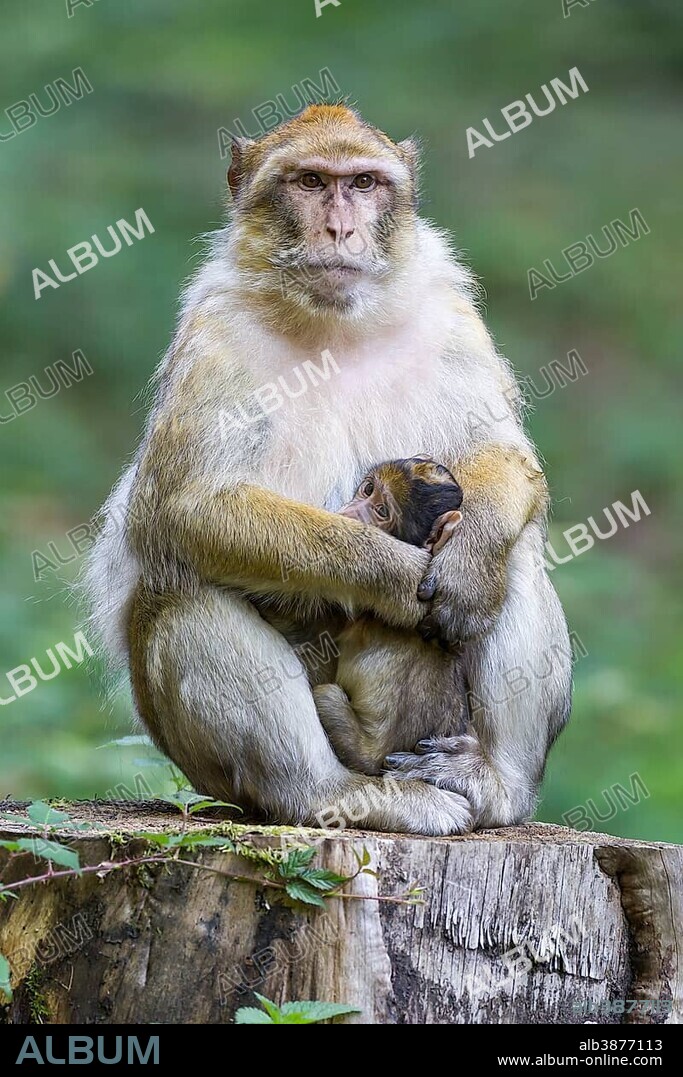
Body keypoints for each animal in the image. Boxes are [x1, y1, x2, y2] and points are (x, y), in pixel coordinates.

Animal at [85, 103, 571, 837]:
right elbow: (185, 508)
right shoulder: (213, 333)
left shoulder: (451, 316)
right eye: (311, 181)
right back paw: (329, 794)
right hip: (215, 770)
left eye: (363, 182)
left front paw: (465, 568)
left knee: (517, 552)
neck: (334, 325)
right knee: (180, 584)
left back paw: (495, 782)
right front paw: (392, 576)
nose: (340, 228)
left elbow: (501, 456)